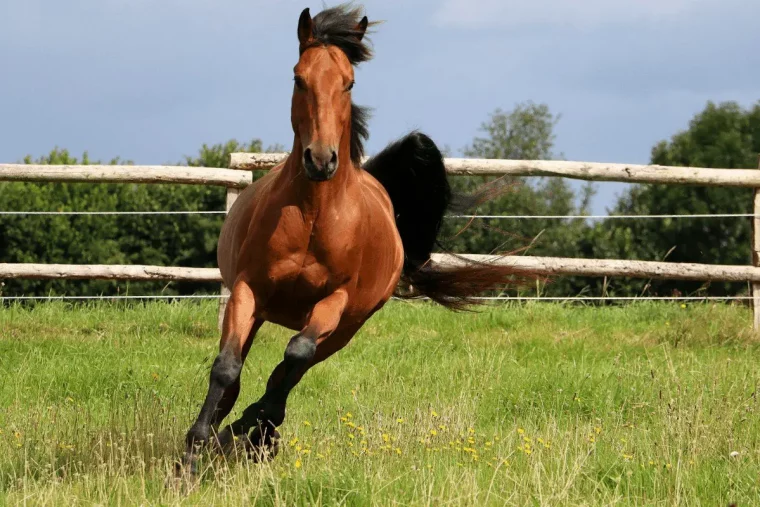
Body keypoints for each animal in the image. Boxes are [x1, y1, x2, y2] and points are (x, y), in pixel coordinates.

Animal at [183, 2, 536, 468]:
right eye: (298, 77)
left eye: (349, 83)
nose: (321, 160)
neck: (314, 216)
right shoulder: (248, 289)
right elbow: (227, 367)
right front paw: (194, 448)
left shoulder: (335, 302)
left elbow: (293, 357)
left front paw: (234, 432)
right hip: (268, 312)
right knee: (254, 369)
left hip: (347, 327)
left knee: (291, 368)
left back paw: (255, 432)